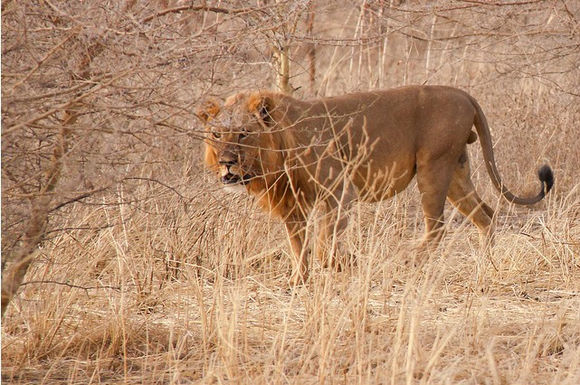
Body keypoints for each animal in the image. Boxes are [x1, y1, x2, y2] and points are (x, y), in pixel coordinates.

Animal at [197, 87, 556, 284]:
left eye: (243, 133)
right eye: (216, 134)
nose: (227, 161)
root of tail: (463, 93)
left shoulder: (339, 190)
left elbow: (325, 242)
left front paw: (344, 263)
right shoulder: (292, 203)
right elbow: (298, 244)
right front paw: (298, 279)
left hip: (433, 167)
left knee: (437, 226)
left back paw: (405, 259)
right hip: (456, 172)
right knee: (485, 214)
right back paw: (486, 262)